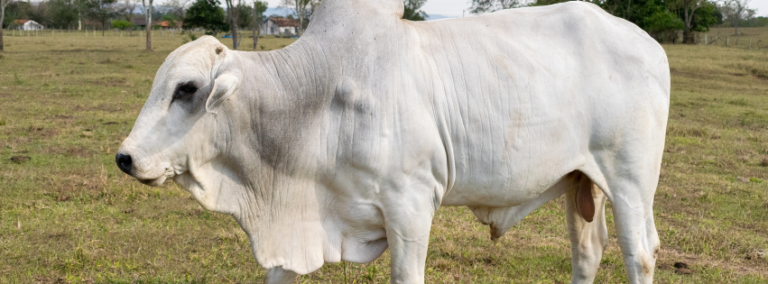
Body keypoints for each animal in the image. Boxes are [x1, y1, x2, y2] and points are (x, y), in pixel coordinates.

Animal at [115, 1, 672, 282]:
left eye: (187, 89)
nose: (125, 157)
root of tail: (647, 42)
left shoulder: (411, 207)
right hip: (581, 181)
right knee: (588, 252)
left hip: (629, 181)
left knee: (640, 253)